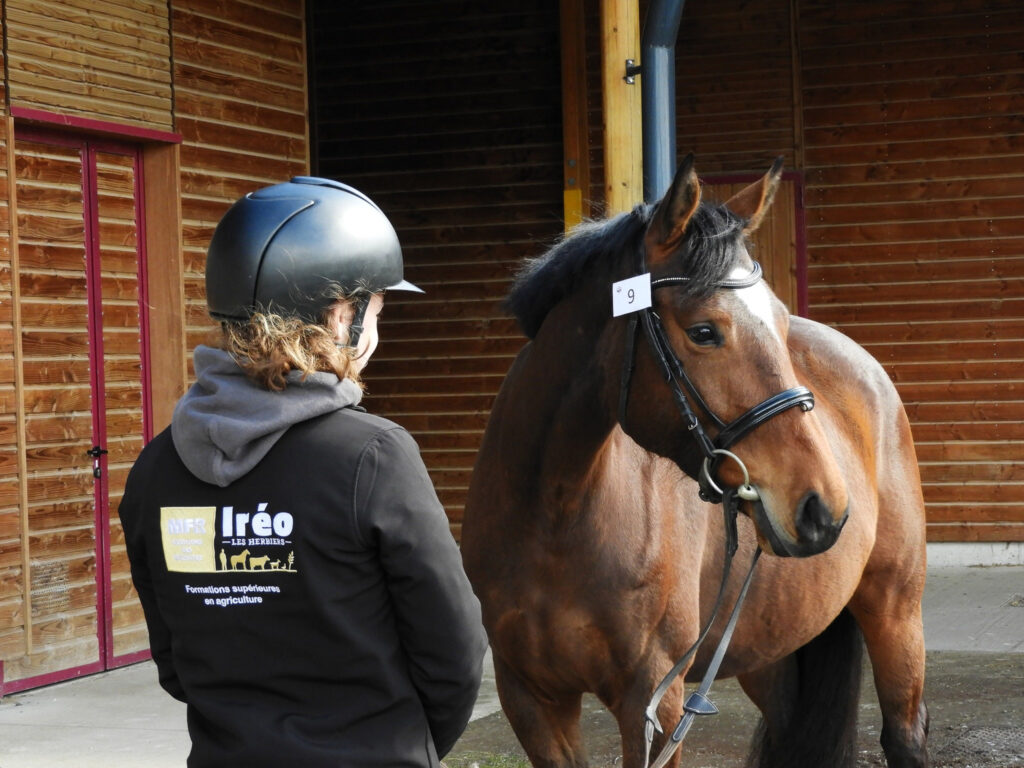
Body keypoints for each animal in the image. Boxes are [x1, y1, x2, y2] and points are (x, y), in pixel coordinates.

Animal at [460, 156, 933, 768]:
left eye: (781, 324)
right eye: (704, 331)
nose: (823, 508)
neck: (554, 517)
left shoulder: (654, 701)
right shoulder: (531, 701)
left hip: (895, 612)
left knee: (906, 732)